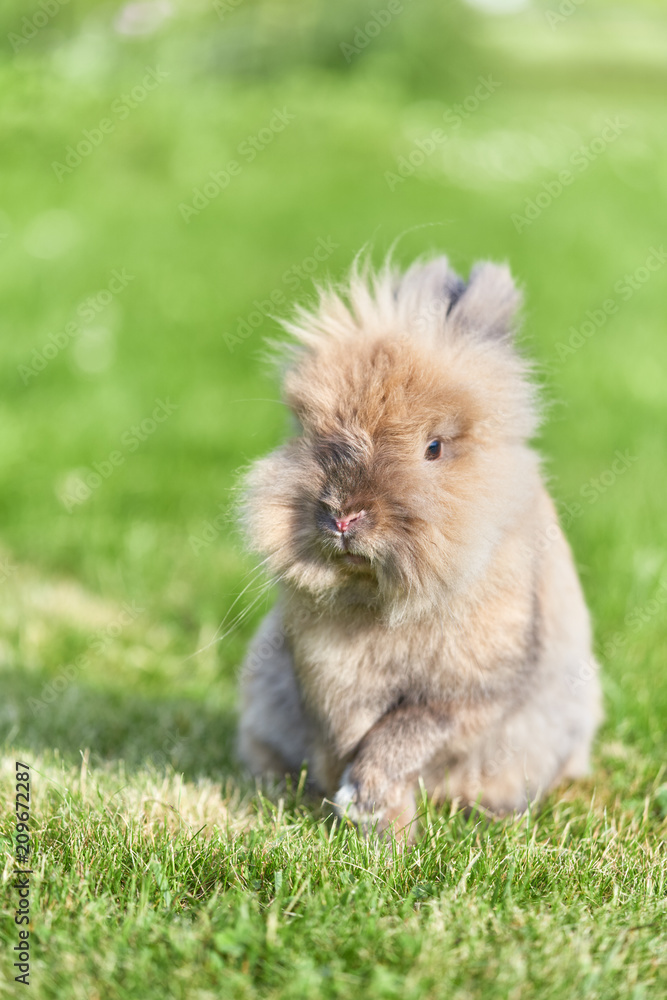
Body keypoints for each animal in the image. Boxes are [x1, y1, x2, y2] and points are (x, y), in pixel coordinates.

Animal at [237, 254, 602, 840]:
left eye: (433, 447)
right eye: (308, 433)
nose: (343, 515)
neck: (377, 598)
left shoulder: (469, 694)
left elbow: (406, 734)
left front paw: (371, 811)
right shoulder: (330, 680)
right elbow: (352, 736)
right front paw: (378, 822)